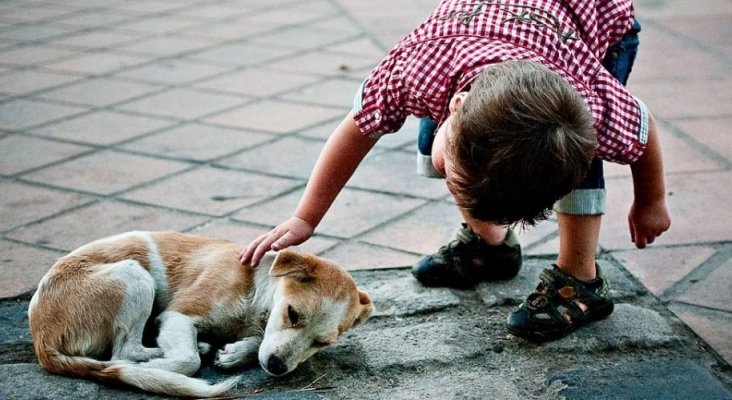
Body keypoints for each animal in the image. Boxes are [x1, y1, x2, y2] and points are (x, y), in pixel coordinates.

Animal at [27, 231, 372, 396]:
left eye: (322, 343)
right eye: (293, 313)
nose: (276, 367)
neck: (256, 290)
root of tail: (41, 338)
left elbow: (257, 343)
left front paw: (235, 353)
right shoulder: (179, 314)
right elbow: (188, 361)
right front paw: (163, 367)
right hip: (134, 276)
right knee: (121, 354)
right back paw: (151, 362)